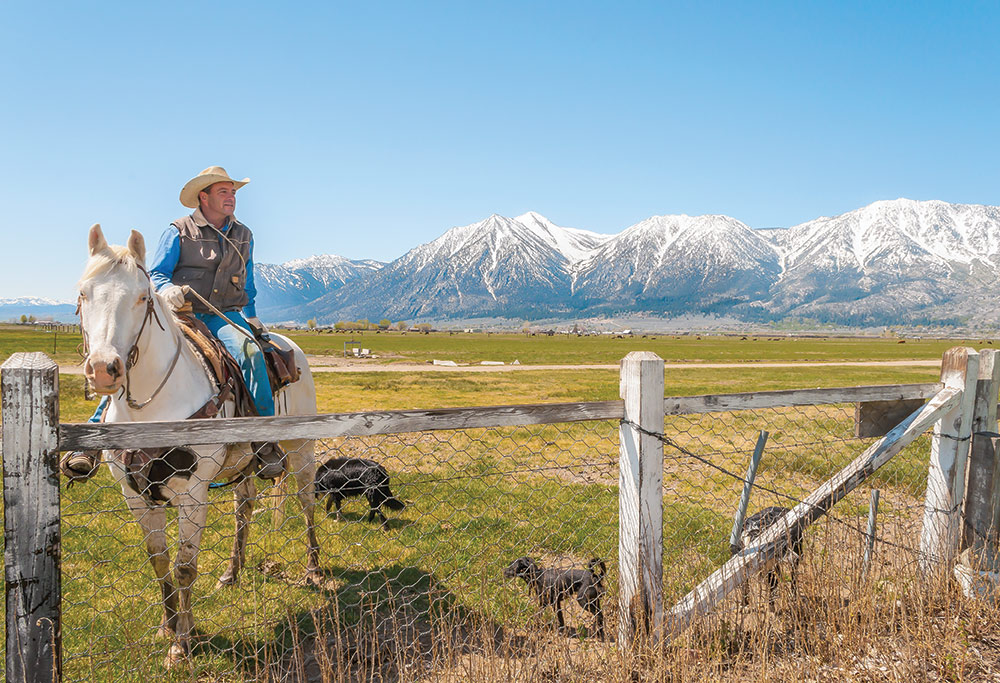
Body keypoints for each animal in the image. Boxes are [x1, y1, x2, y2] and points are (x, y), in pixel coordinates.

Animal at [78, 224, 320, 668]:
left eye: (142, 296)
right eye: (84, 293)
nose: (104, 370)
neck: (150, 411)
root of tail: (284, 342)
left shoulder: (192, 496)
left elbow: (185, 568)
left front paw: (182, 643)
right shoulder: (135, 496)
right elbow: (159, 564)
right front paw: (168, 626)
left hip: (300, 449)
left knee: (306, 501)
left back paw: (313, 570)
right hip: (244, 464)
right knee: (245, 507)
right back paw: (232, 572)